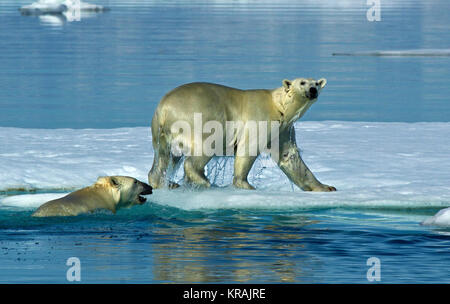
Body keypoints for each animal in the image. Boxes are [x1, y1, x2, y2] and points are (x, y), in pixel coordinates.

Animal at [149, 78, 336, 192]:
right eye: (302, 82)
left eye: (316, 83)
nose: (312, 90)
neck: (278, 106)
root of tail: (164, 108)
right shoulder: (260, 117)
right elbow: (248, 148)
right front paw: (246, 185)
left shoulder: (284, 129)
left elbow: (289, 156)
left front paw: (326, 187)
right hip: (198, 119)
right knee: (204, 147)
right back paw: (204, 181)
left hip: (161, 133)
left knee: (165, 157)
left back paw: (167, 183)